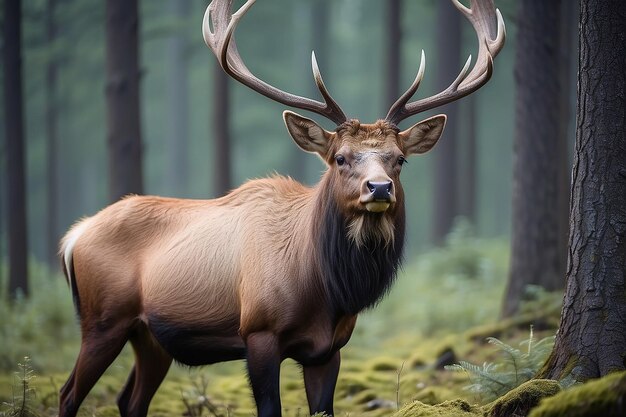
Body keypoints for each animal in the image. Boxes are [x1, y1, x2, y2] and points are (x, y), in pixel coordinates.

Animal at [58, 0, 504, 416]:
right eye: (340, 158)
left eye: (400, 159)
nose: (379, 187)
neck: (324, 288)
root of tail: (73, 236)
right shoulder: (258, 331)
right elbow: (270, 407)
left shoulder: (330, 347)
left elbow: (323, 408)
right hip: (104, 320)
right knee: (69, 393)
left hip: (150, 336)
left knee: (129, 400)